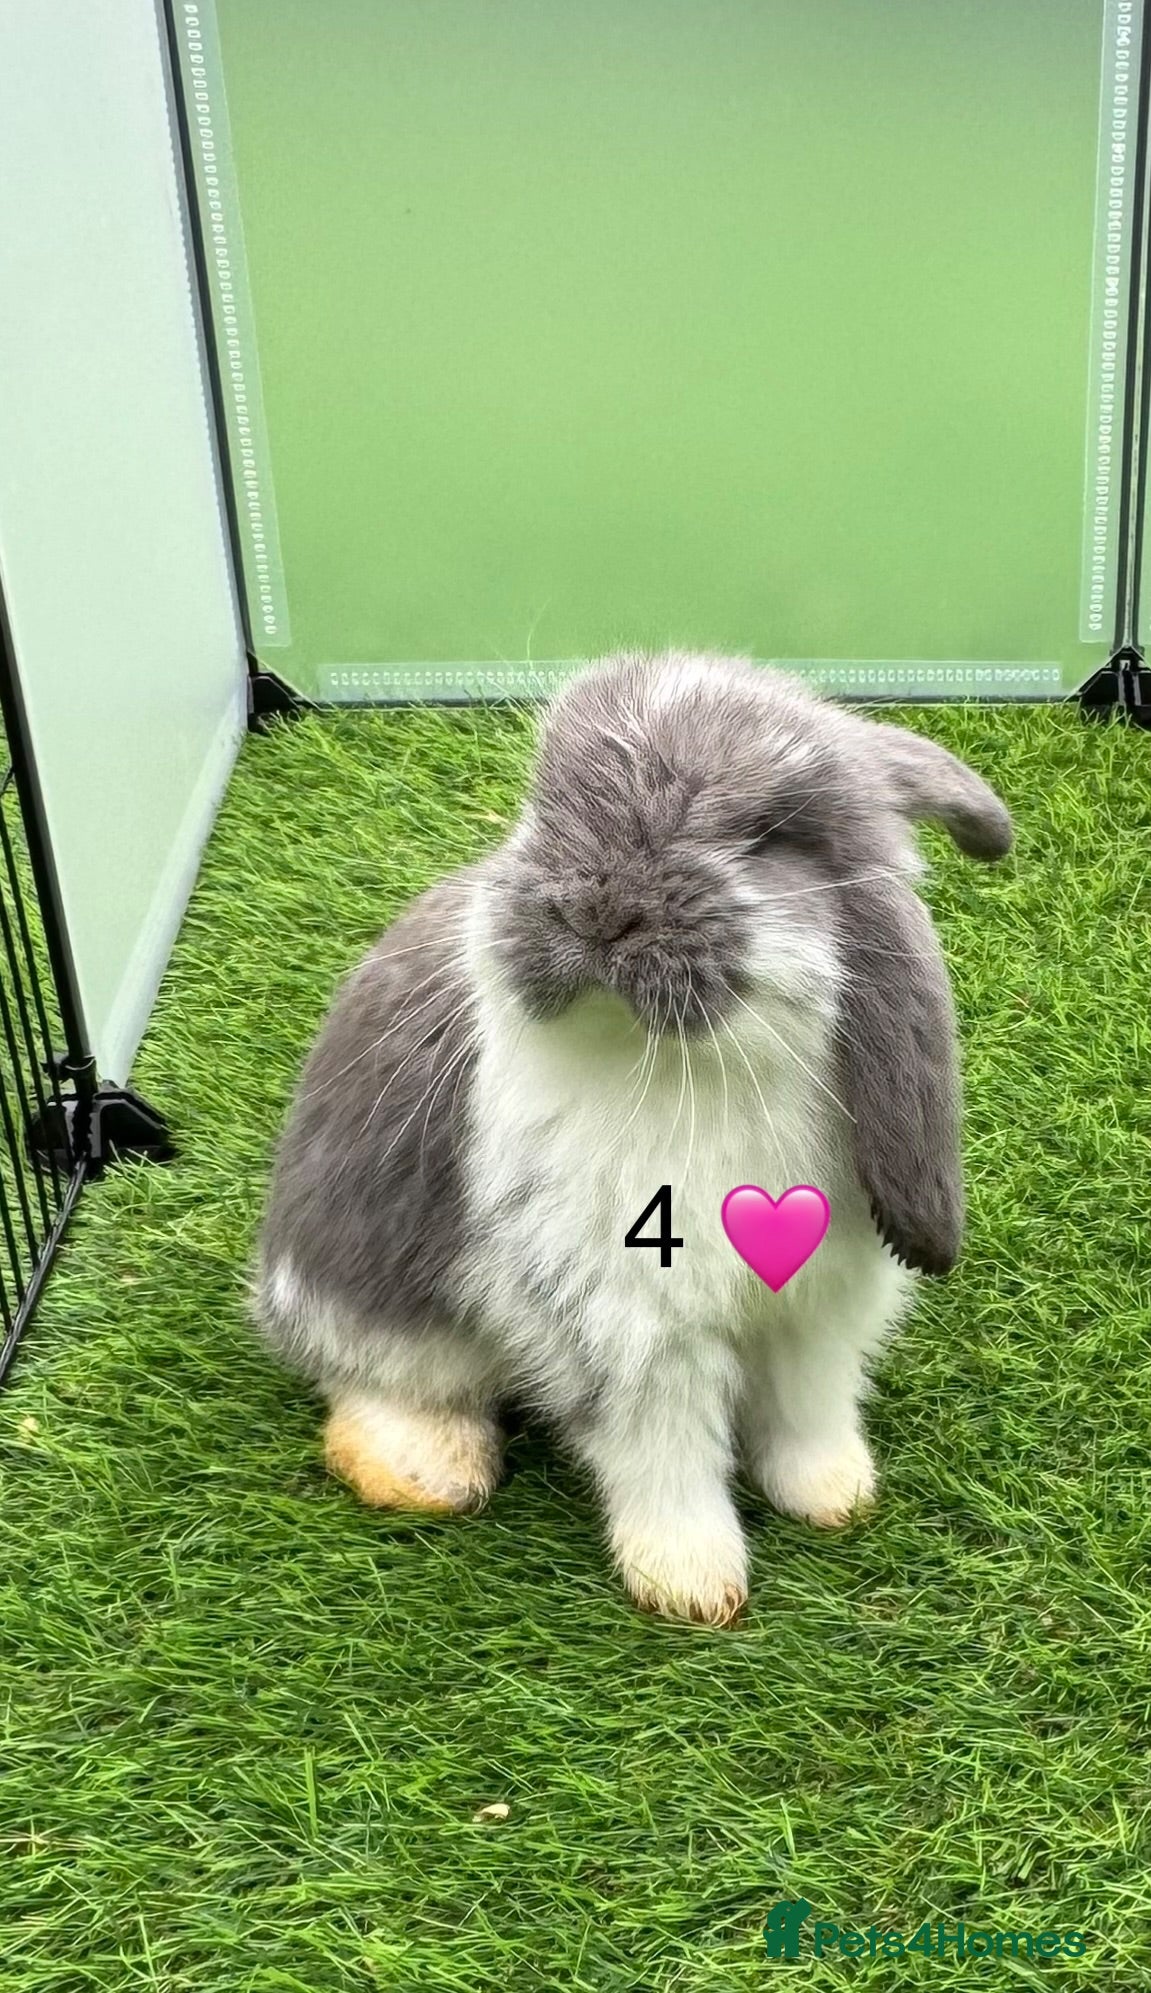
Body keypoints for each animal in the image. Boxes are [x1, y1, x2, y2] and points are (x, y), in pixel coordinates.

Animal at [254, 649, 1012, 1625]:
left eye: (766, 836)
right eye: (541, 801)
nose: (594, 908)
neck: (690, 1065)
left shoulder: (821, 1300)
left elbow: (807, 1404)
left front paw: (833, 1496)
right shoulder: (625, 1321)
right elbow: (663, 1451)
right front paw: (692, 1585)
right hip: (363, 1305)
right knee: (377, 1379)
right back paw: (426, 1471)